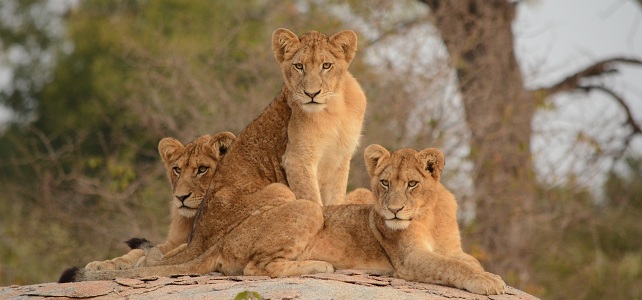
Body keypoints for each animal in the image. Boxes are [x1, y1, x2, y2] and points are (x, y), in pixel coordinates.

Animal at [83, 132, 235, 270]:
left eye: (202, 169)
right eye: (177, 170)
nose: (181, 197)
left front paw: (147, 262)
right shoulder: (174, 241)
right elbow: (141, 251)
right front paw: (104, 264)